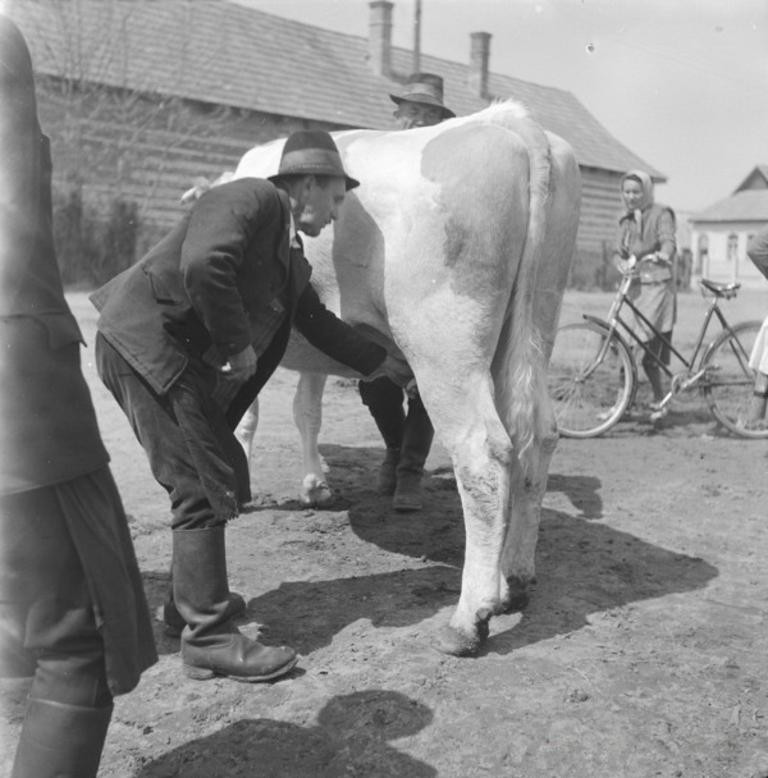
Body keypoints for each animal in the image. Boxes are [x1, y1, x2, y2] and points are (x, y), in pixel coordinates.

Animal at [222, 100, 576, 652]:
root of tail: (514, 124)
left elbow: (250, 417)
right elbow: (306, 411)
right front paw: (315, 485)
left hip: (446, 346)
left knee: (483, 453)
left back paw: (469, 617)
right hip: (534, 324)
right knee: (537, 437)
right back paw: (514, 580)